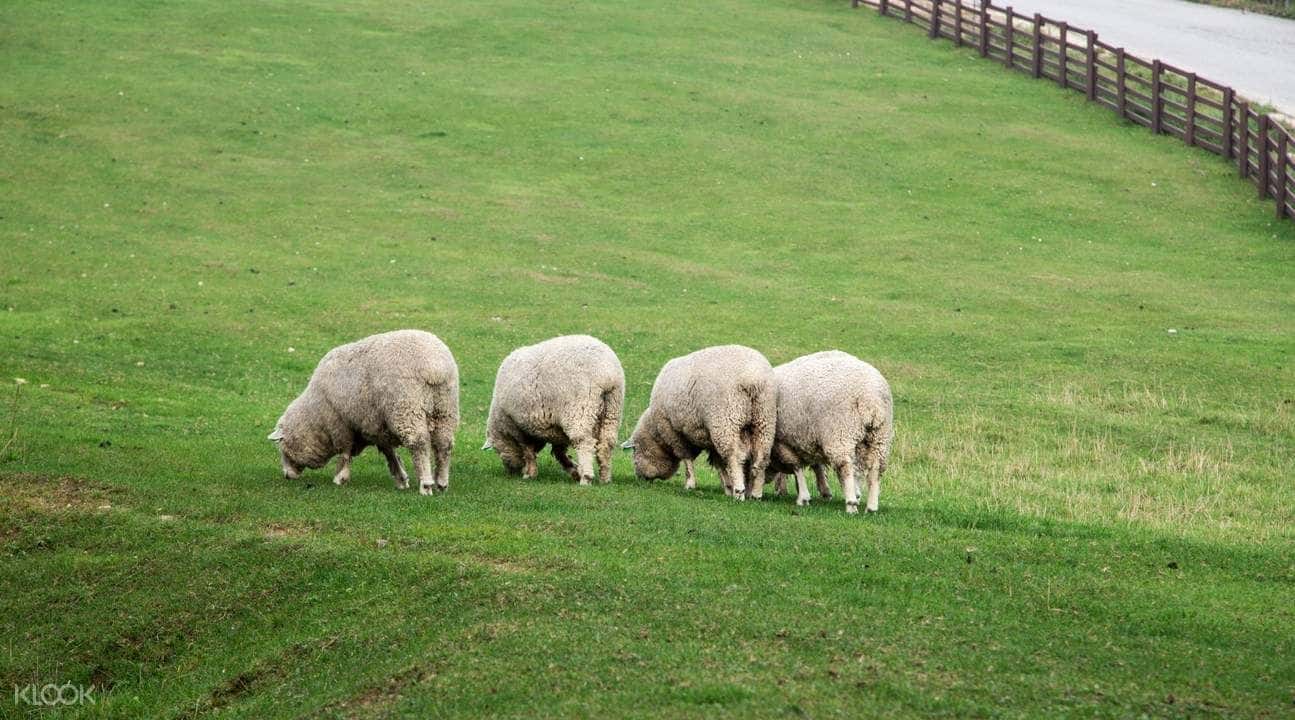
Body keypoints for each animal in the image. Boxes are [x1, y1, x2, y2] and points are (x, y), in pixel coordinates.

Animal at [267, 329, 459, 496]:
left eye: (281, 447)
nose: (286, 475)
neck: (316, 416)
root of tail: (435, 367)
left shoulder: (340, 424)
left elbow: (345, 452)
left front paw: (340, 478)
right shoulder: (377, 426)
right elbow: (389, 453)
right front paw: (401, 478)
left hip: (406, 409)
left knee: (419, 444)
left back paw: (426, 484)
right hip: (445, 408)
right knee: (444, 444)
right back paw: (442, 482)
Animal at [482, 335, 625, 485]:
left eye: (497, 450)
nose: (510, 472)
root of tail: (606, 373)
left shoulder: (518, 427)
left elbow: (528, 451)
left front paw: (529, 473)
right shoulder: (556, 429)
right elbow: (559, 452)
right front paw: (573, 470)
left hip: (580, 409)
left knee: (584, 442)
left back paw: (586, 477)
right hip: (612, 409)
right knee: (606, 444)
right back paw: (605, 478)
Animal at [622, 345, 776, 500]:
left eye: (635, 451)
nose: (640, 478)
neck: (657, 433)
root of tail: (753, 379)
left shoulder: (674, 433)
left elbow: (687, 460)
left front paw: (690, 485)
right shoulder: (711, 438)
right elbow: (719, 464)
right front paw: (727, 487)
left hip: (726, 421)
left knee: (735, 456)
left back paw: (739, 492)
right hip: (764, 420)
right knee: (762, 457)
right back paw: (756, 493)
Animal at [765, 350, 892, 514]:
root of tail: (871, 398)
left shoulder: (784, 441)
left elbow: (797, 467)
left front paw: (802, 497)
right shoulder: (812, 438)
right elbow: (816, 465)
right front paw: (824, 491)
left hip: (840, 432)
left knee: (846, 466)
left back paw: (851, 503)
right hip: (879, 436)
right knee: (875, 468)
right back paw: (871, 506)